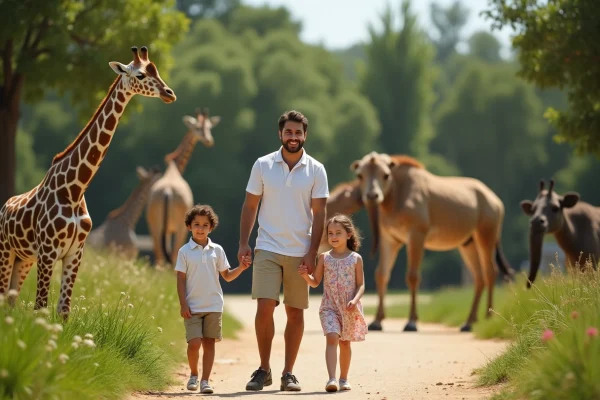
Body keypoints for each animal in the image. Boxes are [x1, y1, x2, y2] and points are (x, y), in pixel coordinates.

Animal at [145, 107, 220, 266]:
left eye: (209, 126)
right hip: (179, 227)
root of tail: (167, 192)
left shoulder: (165, 229)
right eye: (197, 127)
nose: (209, 140)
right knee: (172, 253)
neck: (175, 168)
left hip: (155, 226)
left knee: (159, 253)